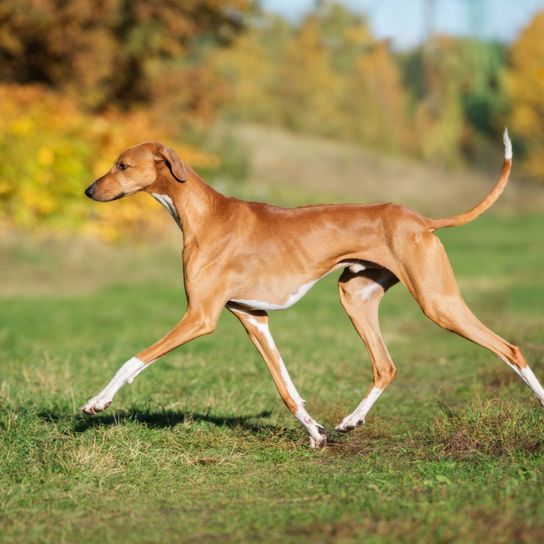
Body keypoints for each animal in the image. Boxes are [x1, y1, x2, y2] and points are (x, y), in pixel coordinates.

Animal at [83, 130, 544, 448]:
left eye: (122, 165)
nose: (89, 190)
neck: (205, 215)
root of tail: (421, 220)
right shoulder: (253, 318)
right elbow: (287, 389)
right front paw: (316, 434)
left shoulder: (200, 317)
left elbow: (132, 360)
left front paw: (97, 402)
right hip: (355, 297)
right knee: (385, 366)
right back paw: (351, 421)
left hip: (438, 302)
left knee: (510, 349)